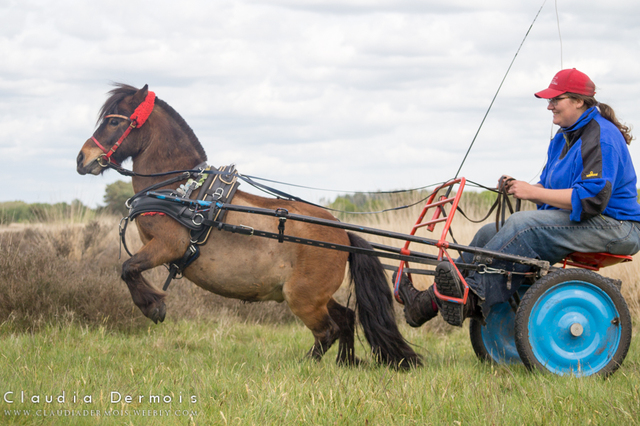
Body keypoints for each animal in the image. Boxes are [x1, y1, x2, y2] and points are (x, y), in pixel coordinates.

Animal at [76, 84, 420, 370]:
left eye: (114, 122)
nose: (82, 158)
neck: (180, 191)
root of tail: (342, 233)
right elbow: (129, 269)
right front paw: (153, 303)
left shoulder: (168, 245)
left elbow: (128, 268)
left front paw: (154, 307)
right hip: (315, 295)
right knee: (346, 319)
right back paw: (345, 363)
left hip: (303, 298)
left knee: (328, 331)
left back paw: (306, 365)